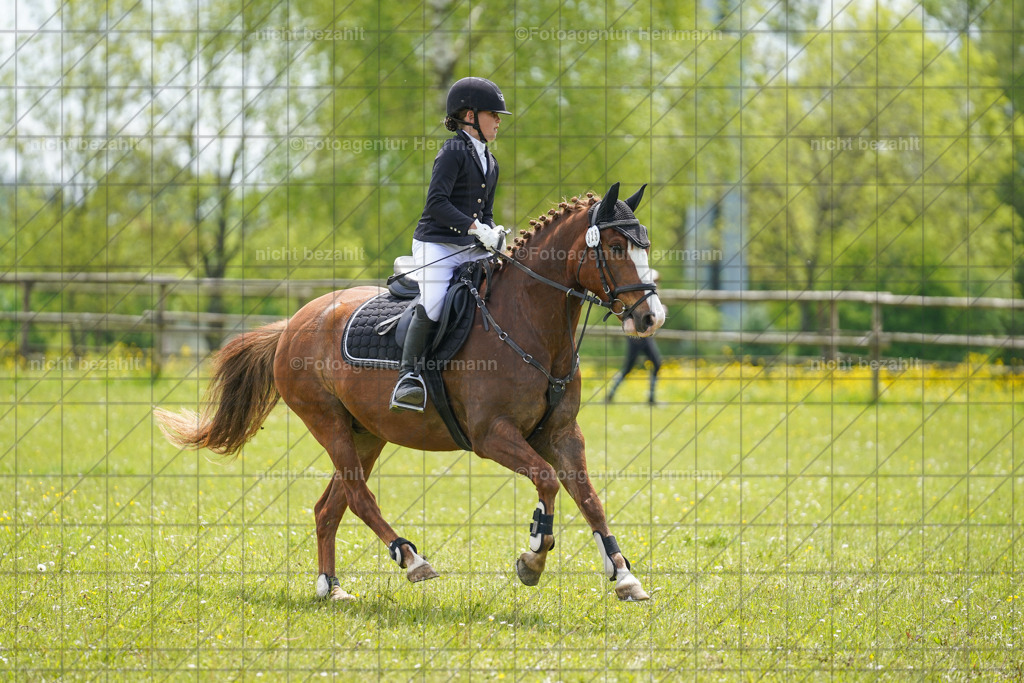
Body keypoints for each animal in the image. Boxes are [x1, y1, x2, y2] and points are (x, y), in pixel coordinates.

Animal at [155, 182, 666, 602]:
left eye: (644, 245)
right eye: (615, 246)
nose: (650, 318)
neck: (528, 324)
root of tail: (291, 325)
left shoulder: (561, 434)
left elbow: (589, 498)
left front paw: (624, 575)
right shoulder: (491, 435)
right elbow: (547, 481)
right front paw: (534, 556)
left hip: (367, 434)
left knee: (330, 507)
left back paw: (331, 587)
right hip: (327, 422)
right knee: (358, 496)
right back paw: (411, 559)